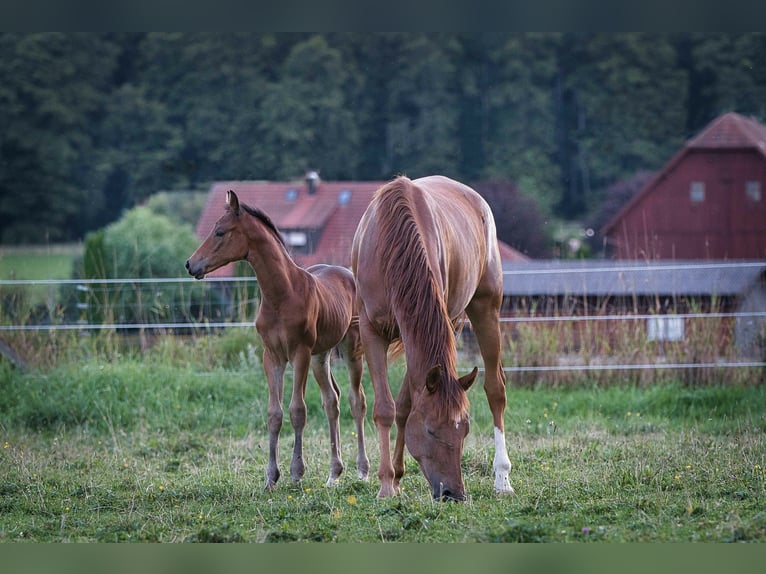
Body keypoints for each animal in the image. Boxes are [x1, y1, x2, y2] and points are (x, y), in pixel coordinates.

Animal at [183, 191, 368, 492]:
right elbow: (274, 413)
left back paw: (363, 470)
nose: (191, 264)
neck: (282, 295)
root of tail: (347, 273)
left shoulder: (299, 353)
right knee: (332, 400)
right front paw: (270, 476)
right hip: (321, 356)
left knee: (356, 399)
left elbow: (297, 410)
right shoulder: (272, 356)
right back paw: (334, 473)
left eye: (220, 231)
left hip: (351, 348)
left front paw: (296, 471)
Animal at [354, 177, 516, 504]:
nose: (454, 493)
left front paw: (394, 478)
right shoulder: (371, 330)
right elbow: (388, 409)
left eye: (465, 430)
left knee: (495, 389)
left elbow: (405, 407)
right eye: (430, 431)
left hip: (484, 308)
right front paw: (389, 484)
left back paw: (502, 477)